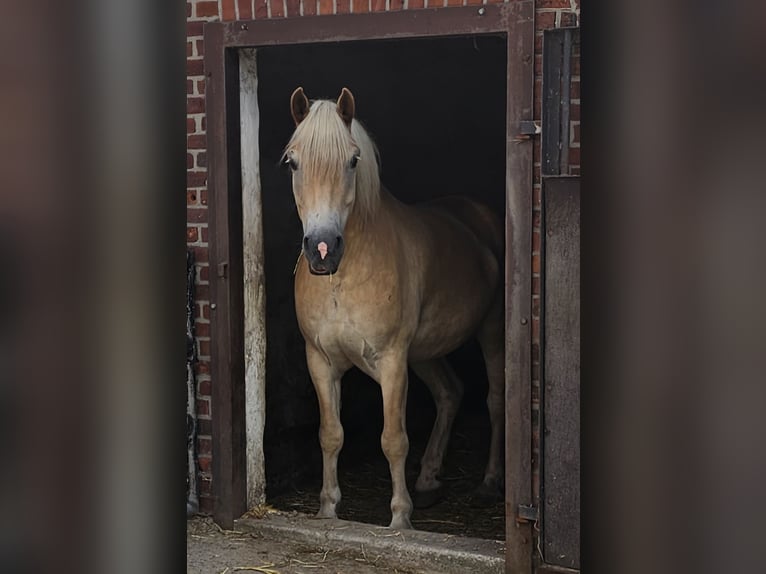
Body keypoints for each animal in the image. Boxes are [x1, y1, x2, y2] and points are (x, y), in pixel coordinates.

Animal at [284, 85, 508, 532]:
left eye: (353, 160)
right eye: (293, 161)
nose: (322, 249)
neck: (342, 280)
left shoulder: (390, 361)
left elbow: (393, 440)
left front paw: (400, 519)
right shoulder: (320, 360)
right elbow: (330, 434)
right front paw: (327, 509)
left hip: (490, 332)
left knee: (494, 401)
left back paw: (489, 484)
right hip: (424, 353)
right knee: (449, 393)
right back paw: (428, 481)